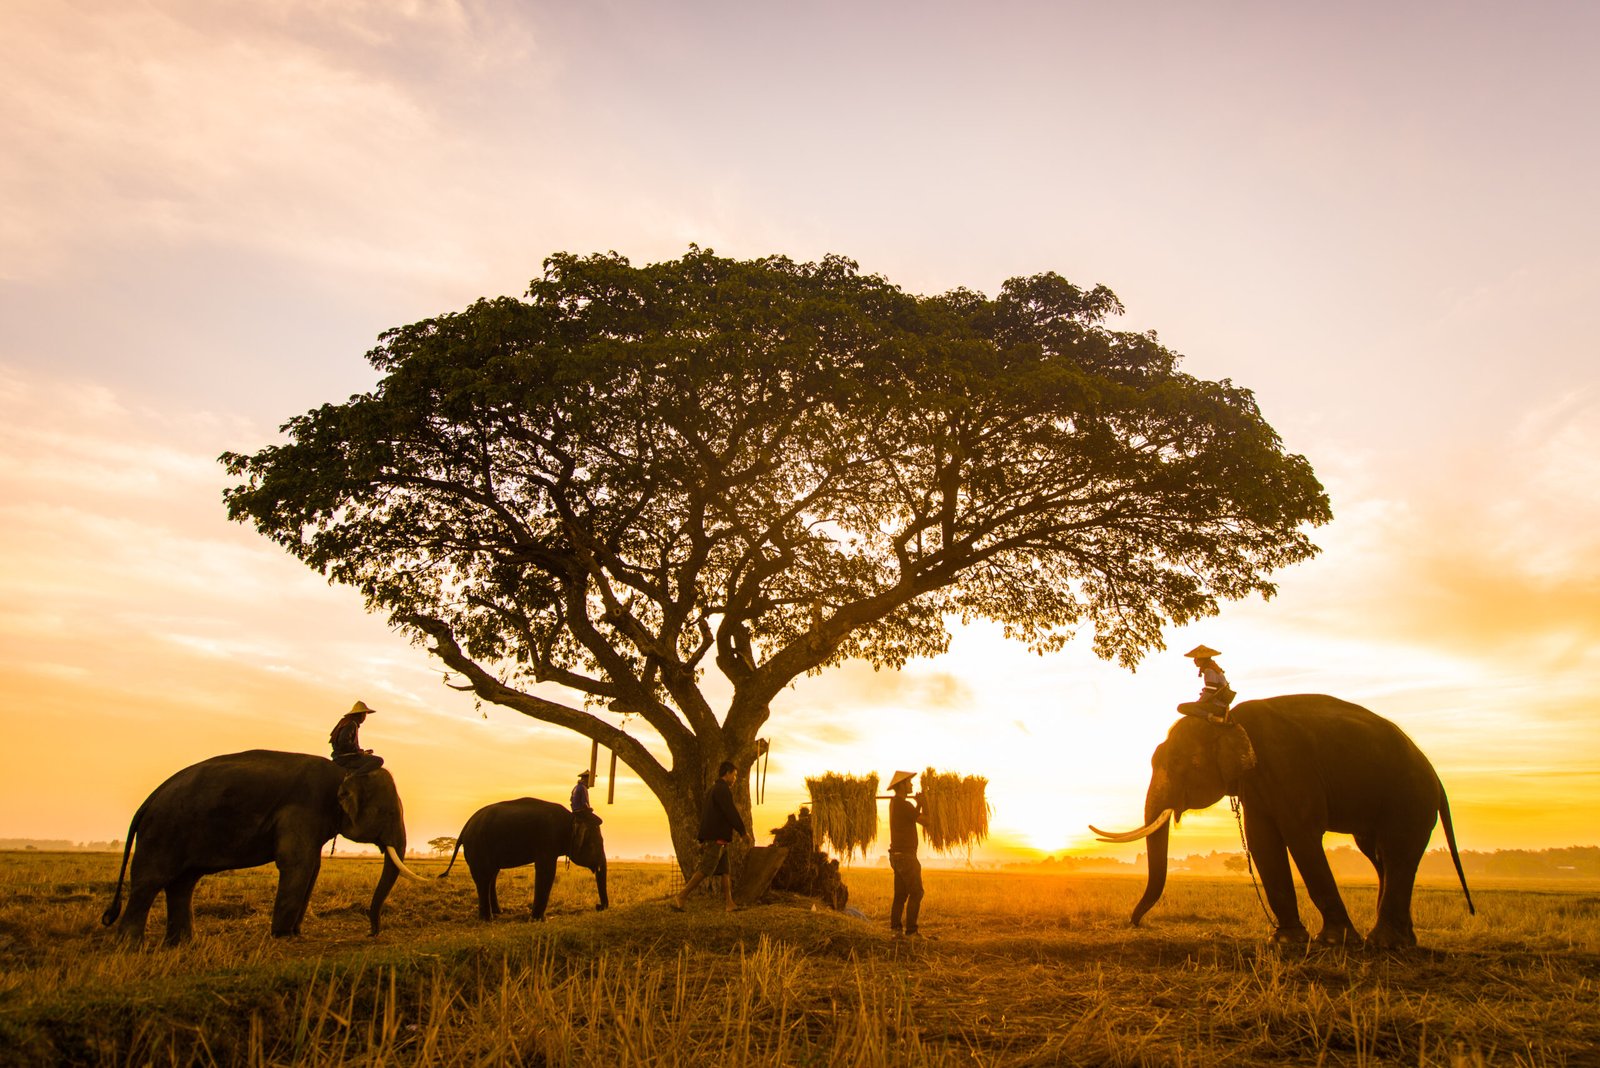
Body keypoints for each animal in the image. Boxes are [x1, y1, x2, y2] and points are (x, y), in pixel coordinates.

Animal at [100, 750, 428, 945]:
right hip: (163, 831)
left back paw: (183, 943)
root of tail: (149, 800)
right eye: (387, 812)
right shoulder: (303, 808)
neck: (344, 772)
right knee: (150, 881)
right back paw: (131, 945)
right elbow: (298, 864)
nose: (371, 932)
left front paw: (294, 933)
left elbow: (312, 867)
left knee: (182, 884)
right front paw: (284, 936)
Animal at [439, 797, 608, 921]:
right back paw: (487, 919)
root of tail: (466, 826)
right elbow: (546, 871)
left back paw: (498, 912)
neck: (572, 817)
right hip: (478, 846)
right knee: (484, 877)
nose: (598, 906)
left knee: (492, 875)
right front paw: (537, 920)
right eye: (595, 844)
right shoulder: (547, 839)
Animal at [1091, 694, 1475, 949]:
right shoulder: (1258, 781)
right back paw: (1401, 941)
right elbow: (1262, 840)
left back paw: (1384, 943)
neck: (1228, 718)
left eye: (1179, 763)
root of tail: (1437, 779)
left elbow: (1300, 835)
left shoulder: (1288, 766)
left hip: (1409, 798)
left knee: (1395, 854)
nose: (1135, 922)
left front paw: (1331, 941)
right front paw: (1285, 940)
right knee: (1378, 856)